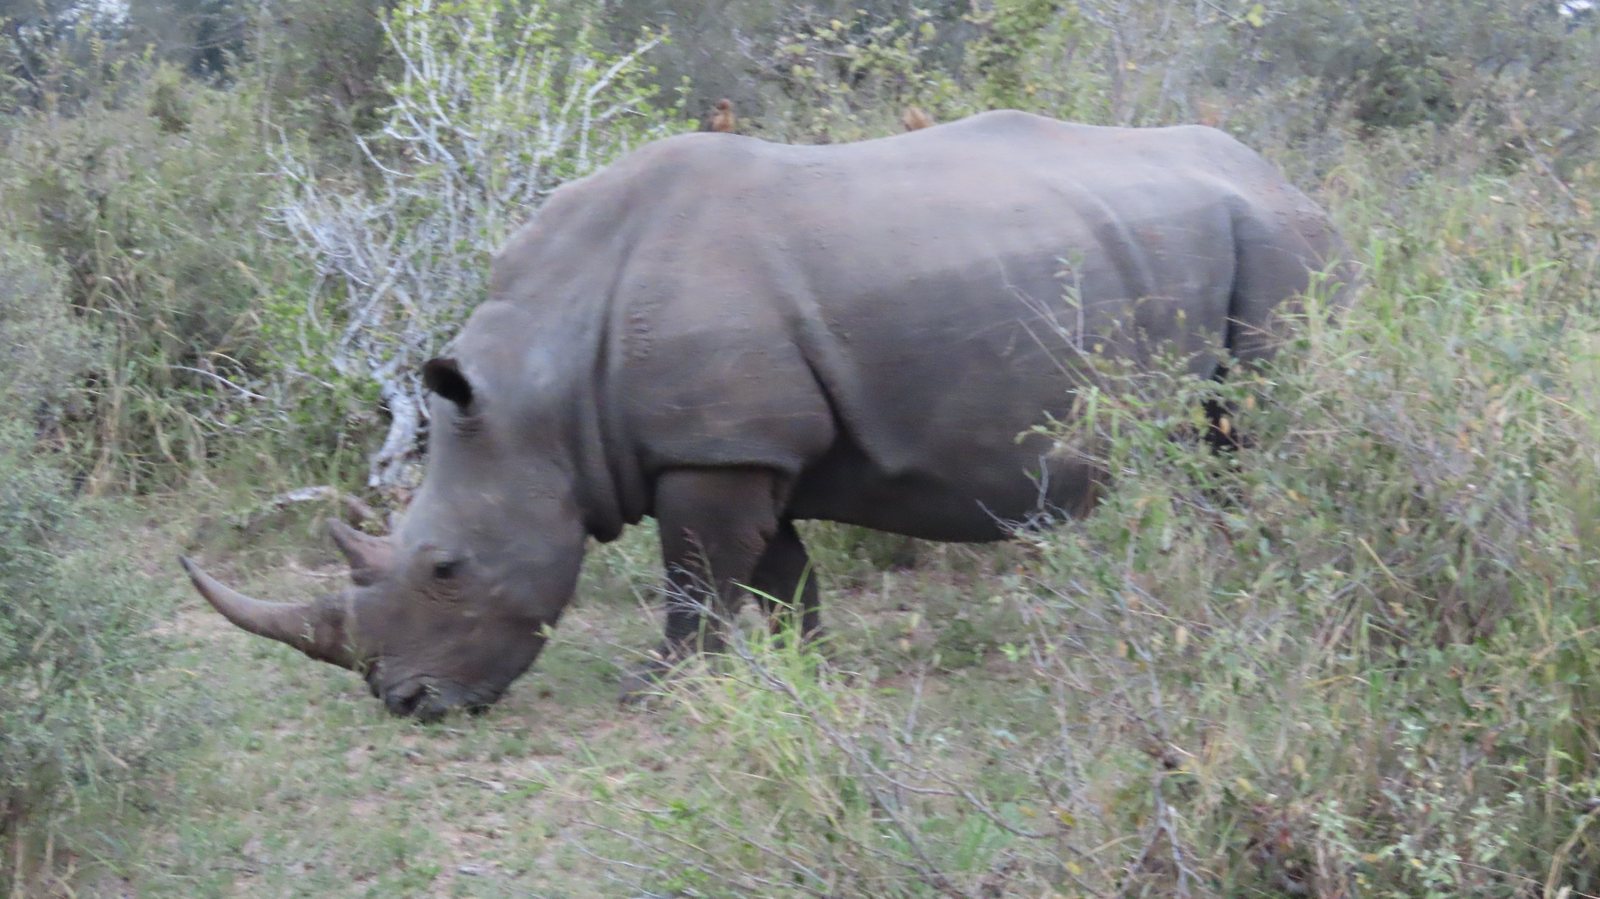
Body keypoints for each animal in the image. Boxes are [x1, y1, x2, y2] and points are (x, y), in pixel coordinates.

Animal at [180, 111, 1353, 720]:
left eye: (444, 568)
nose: (409, 703)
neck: (540, 389)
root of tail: (1293, 181)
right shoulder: (742, 442)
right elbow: (779, 567)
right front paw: (797, 669)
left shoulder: (713, 447)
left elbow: (697, 570)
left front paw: (656, 686)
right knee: (1215, 454)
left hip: (1282, 251)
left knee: (1254, 433)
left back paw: (1251, 594)